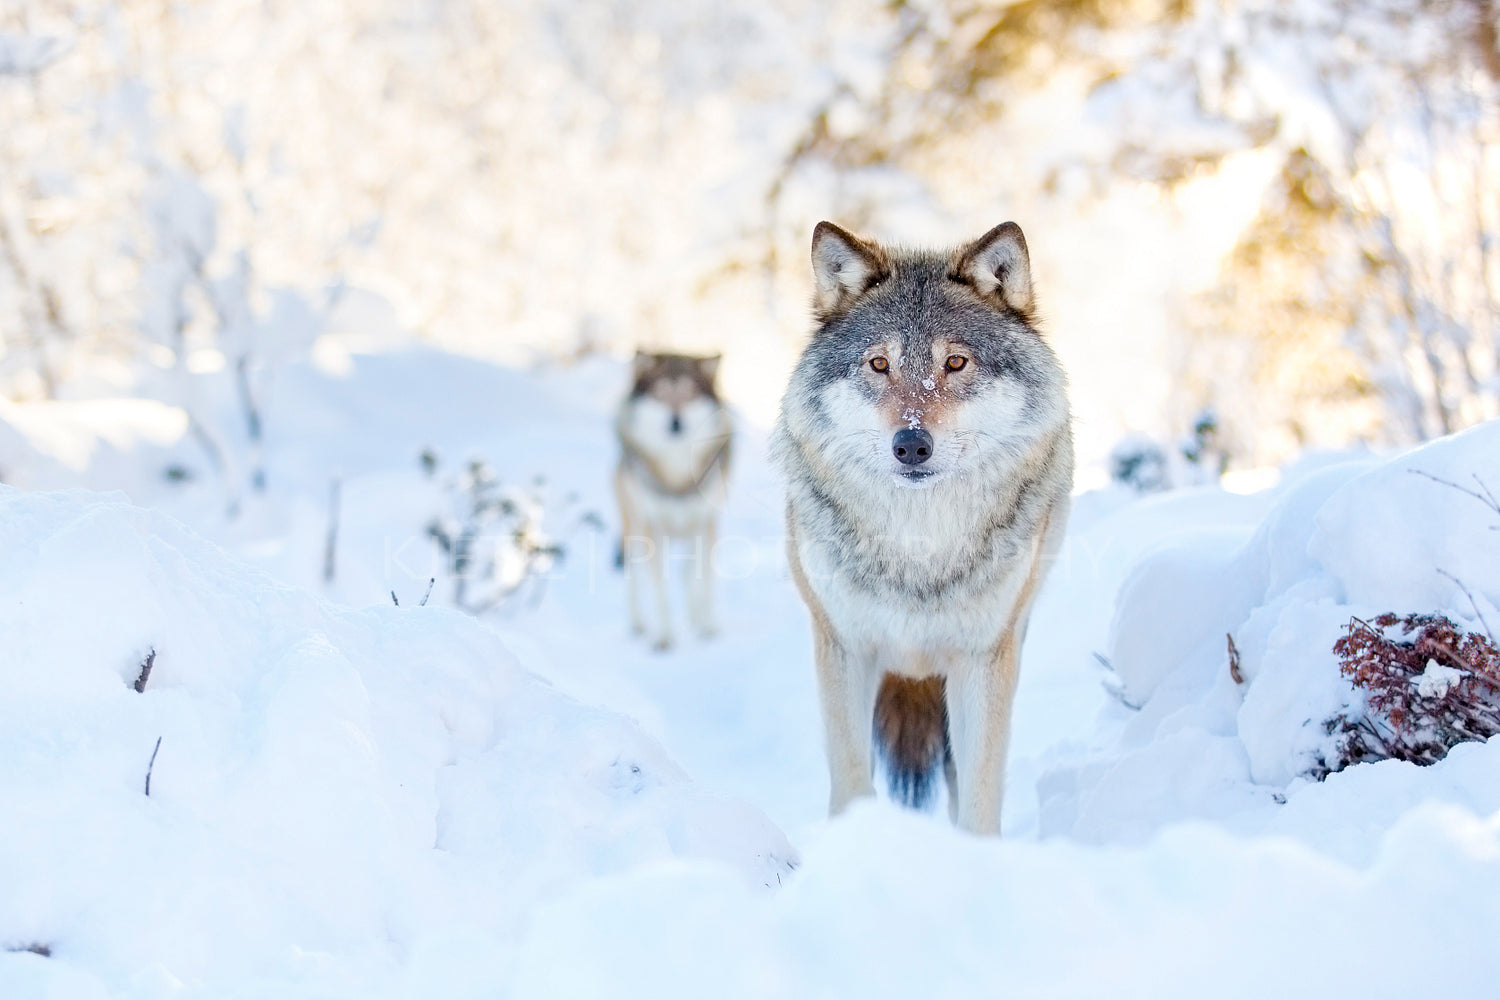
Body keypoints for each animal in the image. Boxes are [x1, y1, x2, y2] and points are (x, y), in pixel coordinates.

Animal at [615, 350, 732, 650]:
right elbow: (660, 587)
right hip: (633, 529)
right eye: (660, 394)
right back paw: (639, 624)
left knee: (688, 574)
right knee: (635, 578)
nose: (676, 423)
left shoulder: (706, 522)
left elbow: (702, 581)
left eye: (690, 393)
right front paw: (664, 637)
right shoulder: (651, 528)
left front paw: (707, 627)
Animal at [768, 220, 1074, 839]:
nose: (910, 444)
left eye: (955, 363)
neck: (918, 547)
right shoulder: (843, 646)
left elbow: (978, 796)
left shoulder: (984, 657)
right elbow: (852, 779)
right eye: (879, 365)